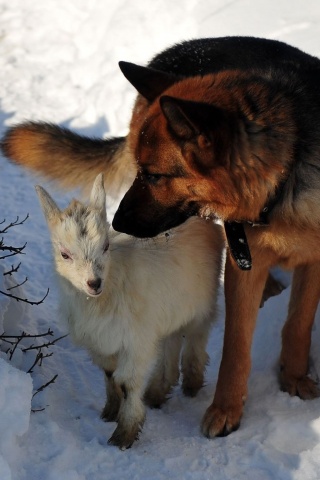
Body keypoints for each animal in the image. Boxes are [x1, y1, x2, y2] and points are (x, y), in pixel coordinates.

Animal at [1, 37, 318, 438]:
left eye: (154, 176)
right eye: (64, 254)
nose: (117, 222)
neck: (283, 181)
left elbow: (297, 325)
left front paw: (293, 381)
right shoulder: (242, 261)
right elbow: (233, 346)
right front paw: (221, 409)